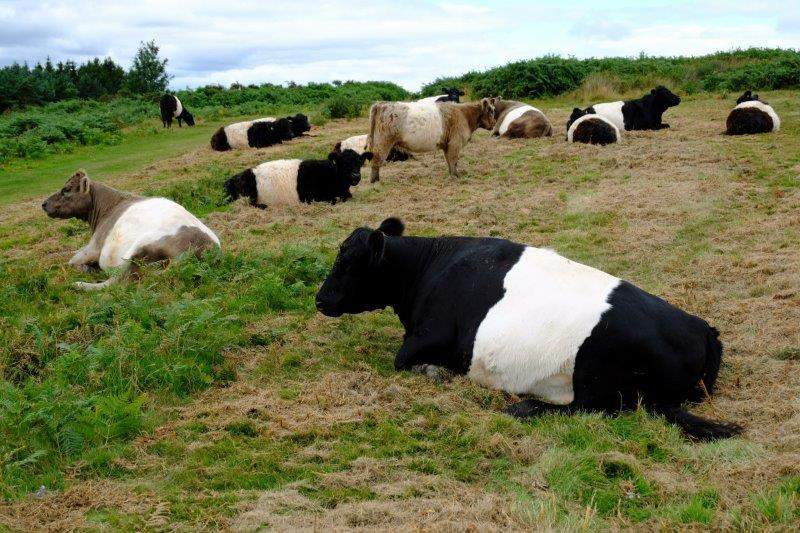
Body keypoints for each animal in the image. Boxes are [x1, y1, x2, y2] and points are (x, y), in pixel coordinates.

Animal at [314, 217, 744, 440]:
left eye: (348, 262)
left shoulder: (424, 338)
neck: (427, 269)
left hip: (597, 377)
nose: (320, 299)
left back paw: (523, 406)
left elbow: (405, 360)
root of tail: (703, 330)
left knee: (593, 410)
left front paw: (436, 372)